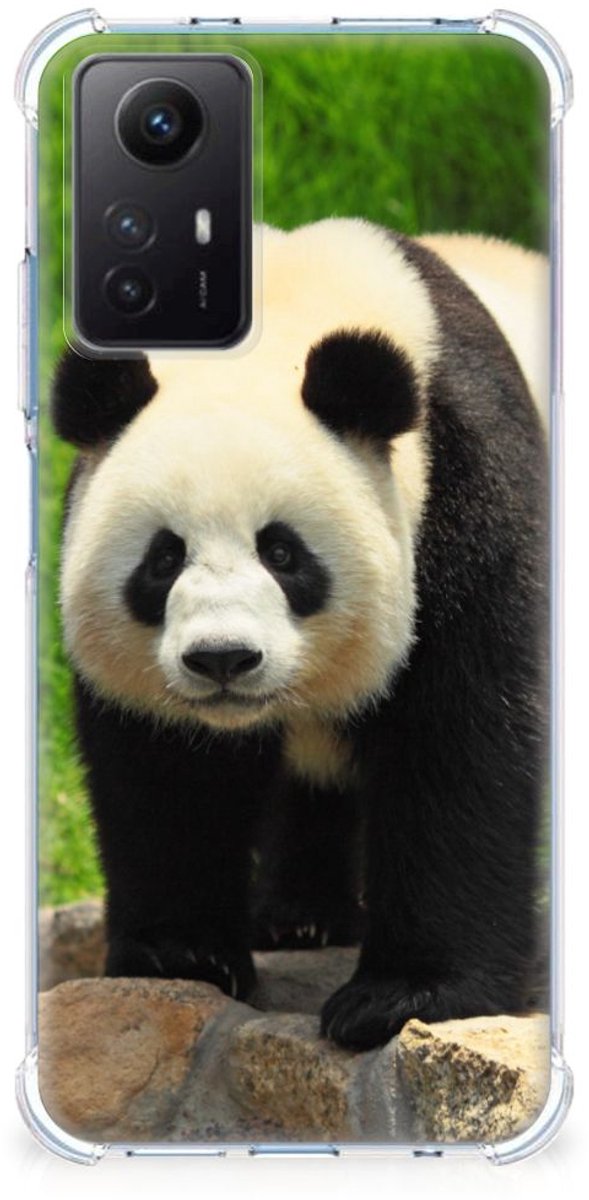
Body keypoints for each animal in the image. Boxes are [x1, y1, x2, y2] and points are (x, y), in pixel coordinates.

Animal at [51, 219, 549, 1051]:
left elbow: (462, 740)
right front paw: (180, 955)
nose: (222, 658)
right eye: (162, 558)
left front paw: (402, 996)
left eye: (282, 553)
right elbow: (166, 771)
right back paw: (299, 917)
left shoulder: (467, 490)